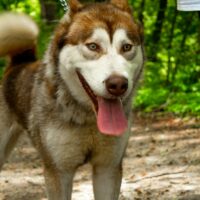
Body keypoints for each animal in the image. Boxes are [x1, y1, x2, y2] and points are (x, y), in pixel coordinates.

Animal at [0, 0, 144, 199]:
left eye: (126, 47)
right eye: (93, 46)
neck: (89, 120)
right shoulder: (58, 172)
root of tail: (18, 65)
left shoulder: (108, 168)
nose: (118, 84)